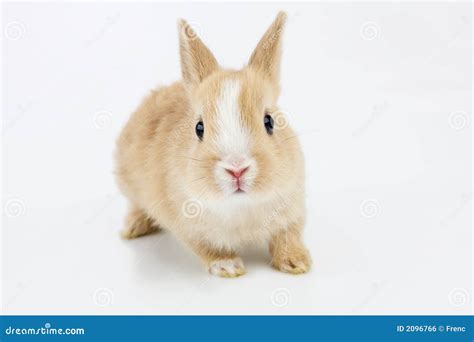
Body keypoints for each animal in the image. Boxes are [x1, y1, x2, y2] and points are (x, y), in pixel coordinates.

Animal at [115, 11, 312, 278]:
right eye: (199, 128)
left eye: (269, 121)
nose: (237, 169)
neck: (241, 206)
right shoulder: (189, 227)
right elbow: (209, 248)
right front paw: (228, 266)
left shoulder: (291, 210)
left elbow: (286, 237)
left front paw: (297, 262)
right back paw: (133, 228)